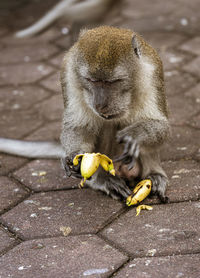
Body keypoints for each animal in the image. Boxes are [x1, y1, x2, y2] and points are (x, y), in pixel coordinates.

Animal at [0, 26, 170, 202]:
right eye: (92, 80)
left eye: (112, 82)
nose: (100, 103)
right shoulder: (69, 73)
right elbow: (78, 125)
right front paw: (75, 156)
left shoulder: (151, 73)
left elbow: (161, 126)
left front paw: (134, 136)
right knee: (103, 125)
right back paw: (102, 179)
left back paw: (154, 175)